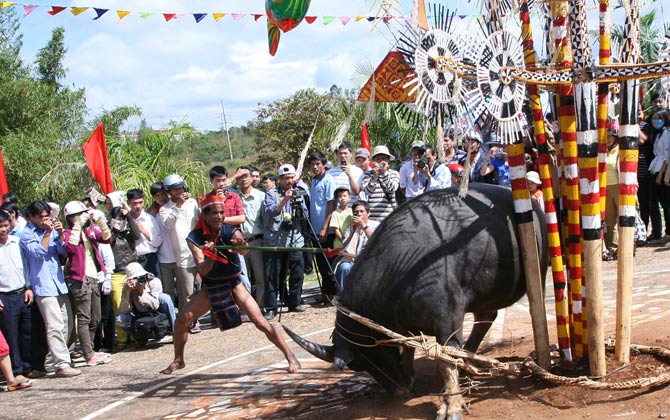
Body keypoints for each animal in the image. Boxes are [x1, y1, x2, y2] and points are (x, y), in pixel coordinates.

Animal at [286, 185, 548, 420]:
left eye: (368, 356)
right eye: (359, 366)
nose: (399, 390)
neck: (396, 270)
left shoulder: (447, 317)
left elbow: (445, 361)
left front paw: (450, 407)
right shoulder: (407, 323)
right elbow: (410, 345)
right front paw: (411, 372)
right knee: (486, 316)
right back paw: (468, 360)